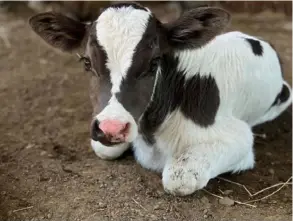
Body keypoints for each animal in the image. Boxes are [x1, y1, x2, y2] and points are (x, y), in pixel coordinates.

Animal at [28, 2, 290, 196]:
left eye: (154, 63)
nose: (112, 128)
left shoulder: (239, 138)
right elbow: (104, 149)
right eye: (86, 62)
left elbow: (179, 179)